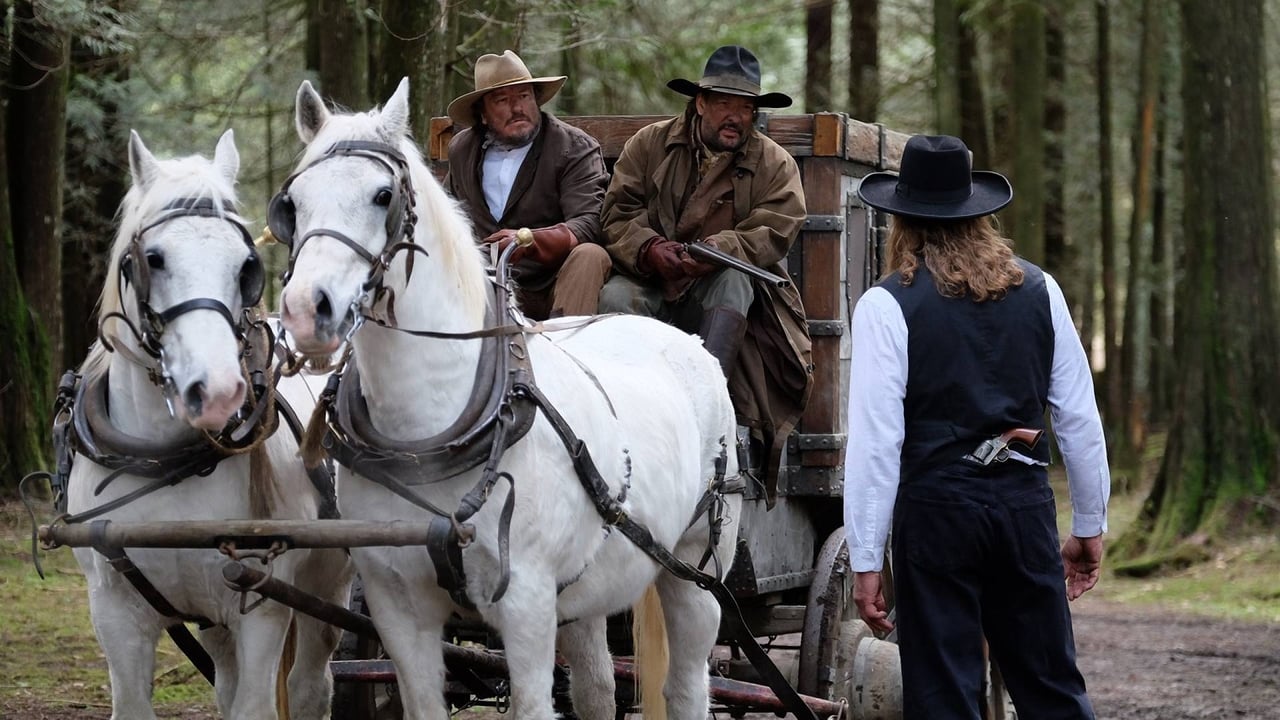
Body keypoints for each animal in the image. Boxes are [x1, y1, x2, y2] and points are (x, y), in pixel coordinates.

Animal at [64, 130, 350, 717]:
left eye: (245, 265)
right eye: (152, 259)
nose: (217, 391)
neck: (166, 460)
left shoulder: (263, 604)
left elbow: (254, 707)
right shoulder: (114, 611)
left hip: (326, 581)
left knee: (311, 685)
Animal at [275, 79, 747, 717]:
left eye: (382, 196)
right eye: (292, 203)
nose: (306, 310)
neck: (429, 431)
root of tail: (684, 338)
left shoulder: (525, 602)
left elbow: (532, 703)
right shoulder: (396, 603)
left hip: (696, 567)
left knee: (687, 683)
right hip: (589, 585)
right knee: (597, 687)